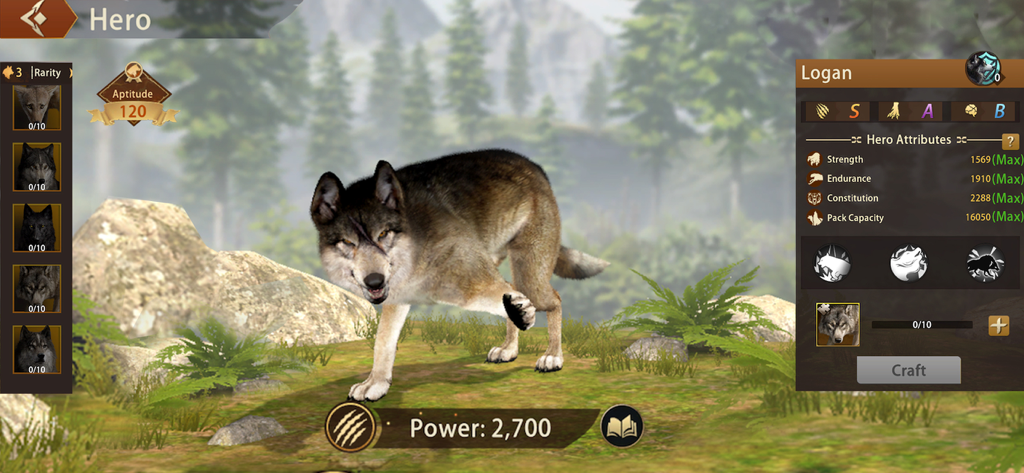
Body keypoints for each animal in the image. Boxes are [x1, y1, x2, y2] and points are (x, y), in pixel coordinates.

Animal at [310, 149, 609, 402]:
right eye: (347, 242)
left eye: (383, 234)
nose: (375, 281)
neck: (415, 244)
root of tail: (534, 166)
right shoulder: (398, 298)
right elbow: (383, 343)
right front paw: (376, 384)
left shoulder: (472, 281)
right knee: (514, 292)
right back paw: (509, 350)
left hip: (529, 274)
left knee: (553, 299)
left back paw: (552, 356)